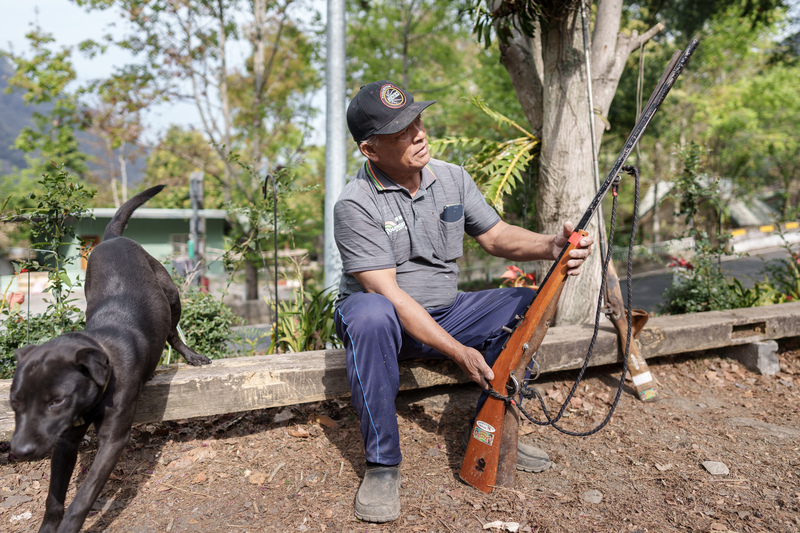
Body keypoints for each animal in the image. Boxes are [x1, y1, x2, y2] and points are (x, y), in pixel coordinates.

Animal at [10, 185, 209, 528]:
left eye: (56, 401)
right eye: (15, 403)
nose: (20, 450)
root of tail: (113, 237)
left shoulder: (114, 439)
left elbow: (83, 497)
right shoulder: (65, 441)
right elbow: (54, 499)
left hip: (171, 293)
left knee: (173, 332)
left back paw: (191, 356)